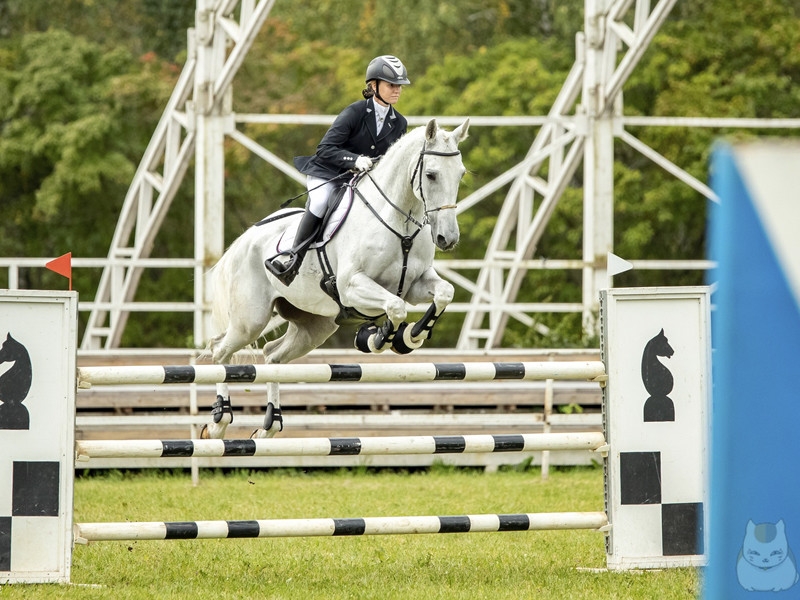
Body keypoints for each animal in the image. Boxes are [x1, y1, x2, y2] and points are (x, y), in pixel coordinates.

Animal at [203, 117, 472, 438]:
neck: (400, 222)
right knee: (220, 352)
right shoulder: (351, 286)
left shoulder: (414, 285)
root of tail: (245, 239)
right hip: (250, 320)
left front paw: (410, 336)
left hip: (314, 326)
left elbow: (444, 293)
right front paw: (378, 338)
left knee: (272, 356)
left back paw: (270, 425)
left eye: (461, 174)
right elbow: (395, 307)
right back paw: (218, 422)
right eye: (431, 175)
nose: (447, 239)